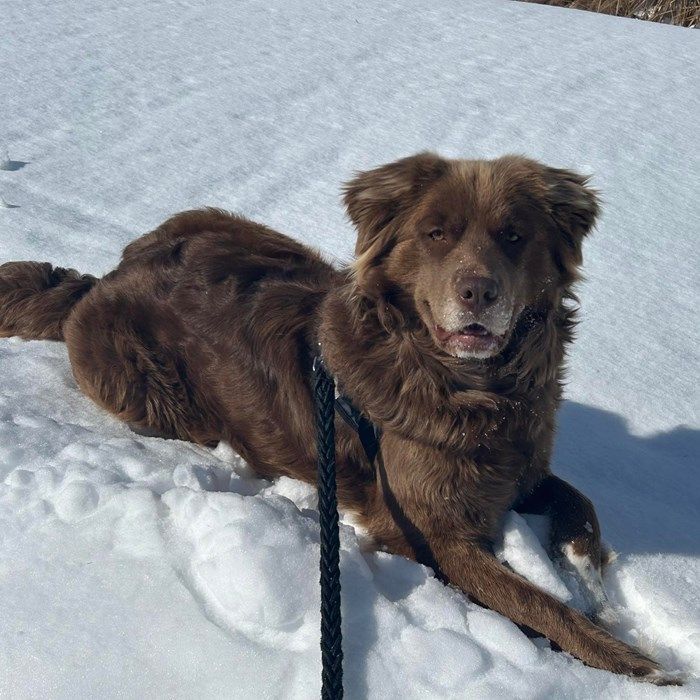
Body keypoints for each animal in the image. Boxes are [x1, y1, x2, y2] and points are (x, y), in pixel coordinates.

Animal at [0, 154, 676, 684]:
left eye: (514, 236)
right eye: (436, 233)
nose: (479, 293)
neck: (475, 395)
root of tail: (106, 277)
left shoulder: (521, 464)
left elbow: (581, 507)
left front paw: (592, 583)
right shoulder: (433, 534)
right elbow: (538, 607)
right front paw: (642, 666)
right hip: (154, 391)